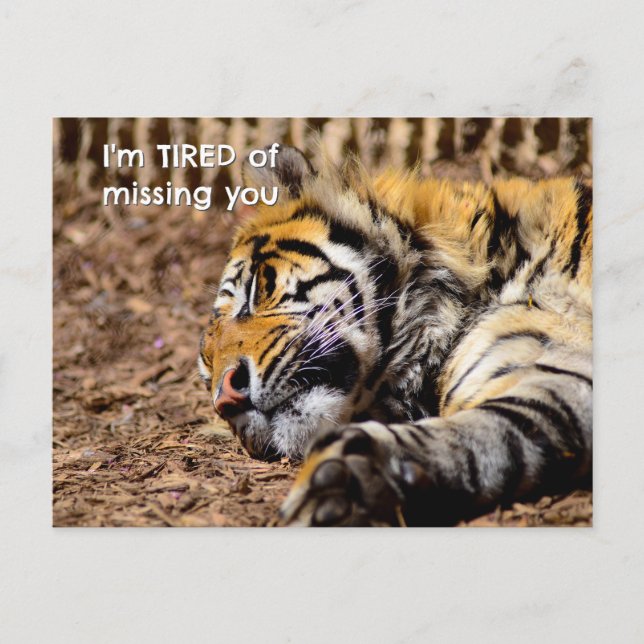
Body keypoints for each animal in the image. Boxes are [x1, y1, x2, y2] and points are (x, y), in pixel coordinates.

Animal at [198, 144, 592, 526]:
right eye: (208, 376)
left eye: (253, 292)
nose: (227, 400)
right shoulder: (550, 378)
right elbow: (502, 433)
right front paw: (352, 477)